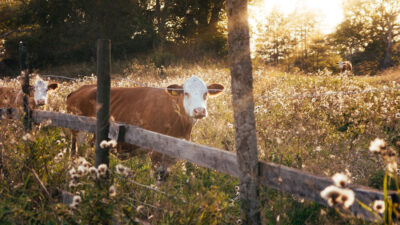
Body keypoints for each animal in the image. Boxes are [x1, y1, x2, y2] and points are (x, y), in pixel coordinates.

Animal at [67, 76, 227, 180]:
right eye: (185, 93)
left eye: (205, 94)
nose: (199, 111)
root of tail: (80, 89)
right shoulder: (155, 153)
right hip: (78, 133)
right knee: (76, 154)